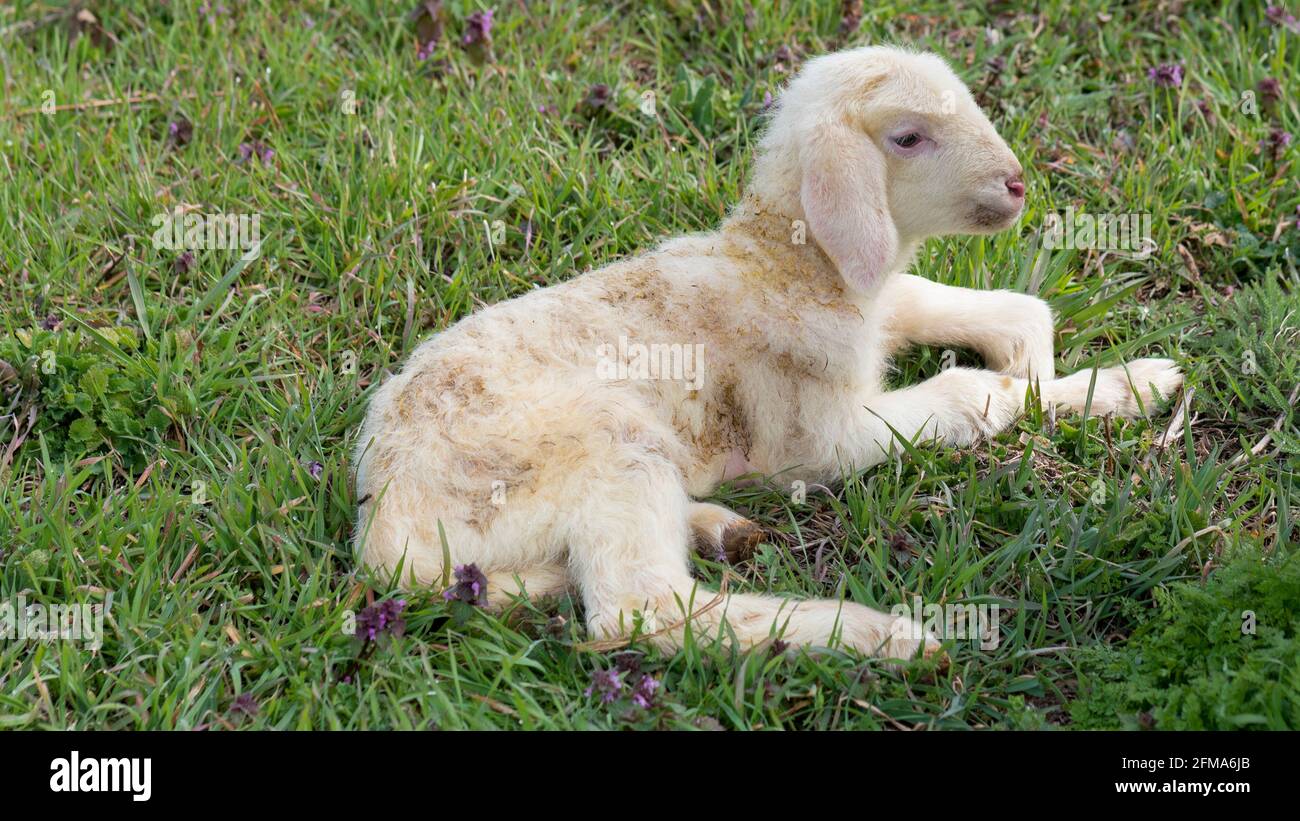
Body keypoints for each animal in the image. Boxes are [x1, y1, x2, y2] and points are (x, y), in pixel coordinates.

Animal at [351, 46, 1185, 659]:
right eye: (908, 137)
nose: (1016, 185)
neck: (780, 264)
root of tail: (387, 538)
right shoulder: (819, 437)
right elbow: (967, 395)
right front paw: (1050, 395)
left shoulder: (881, 308)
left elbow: (999, 309)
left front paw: (1114, 383)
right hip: (605, 445)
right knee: (640, 612)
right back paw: (880, 636)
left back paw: (720, 528)